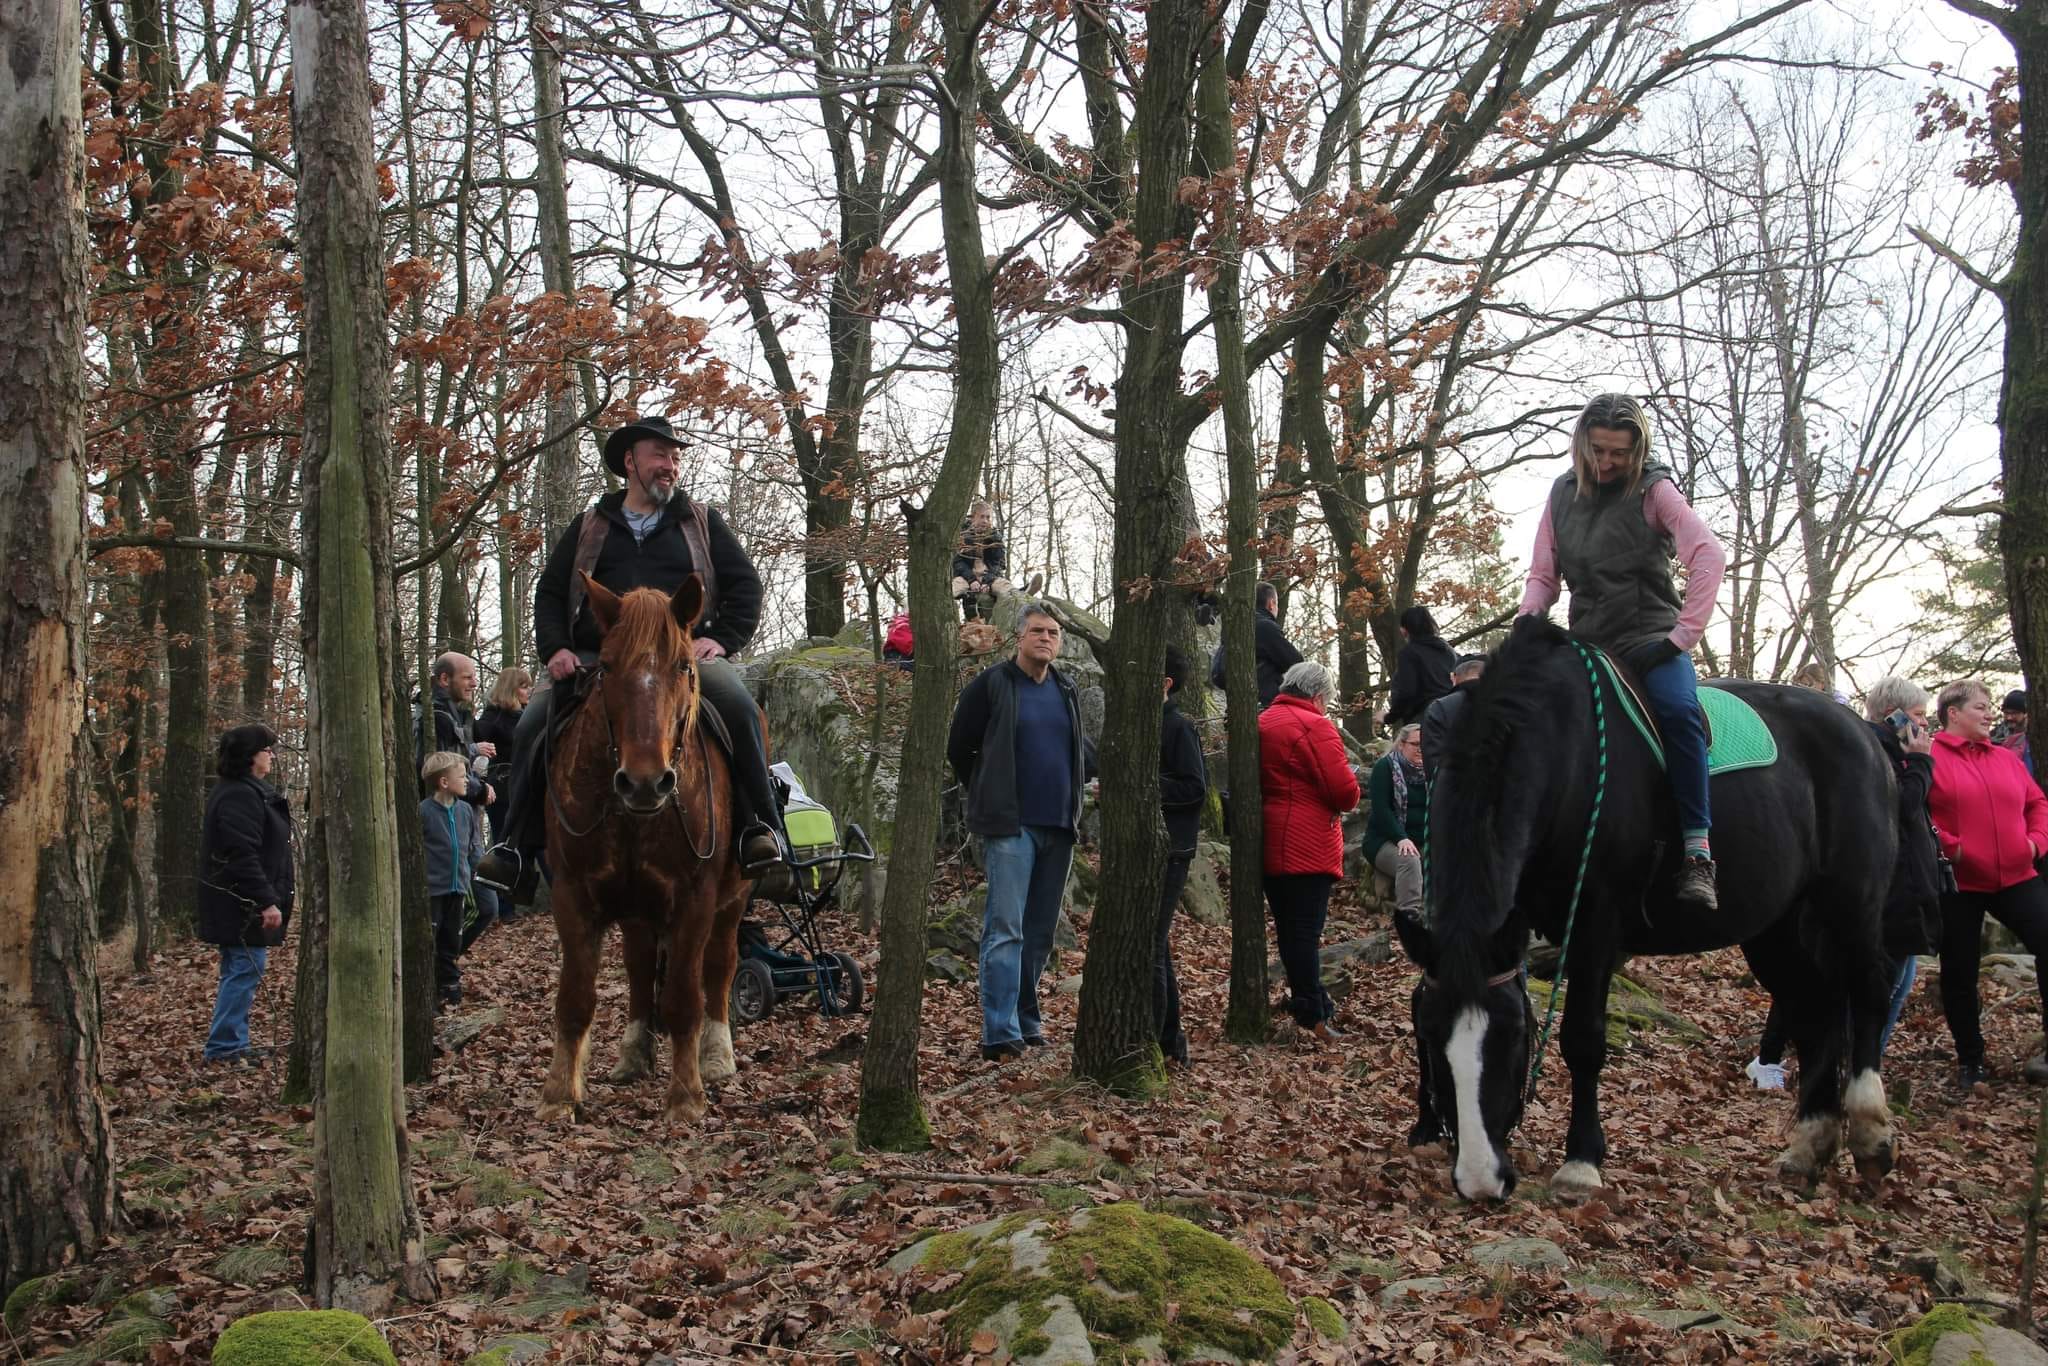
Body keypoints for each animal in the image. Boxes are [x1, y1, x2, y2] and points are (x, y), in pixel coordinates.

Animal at [536, 573, 745, 1122]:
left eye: (684, 665)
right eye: (606, 666)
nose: (645, 782)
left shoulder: (695, 900)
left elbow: (684, 999)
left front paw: (686, 1095)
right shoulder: (573, 895)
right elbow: (576, 997)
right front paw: (559, 1093)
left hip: (734, 901)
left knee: (720, 967)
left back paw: (717, 1056)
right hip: (636, 908)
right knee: (638, 966)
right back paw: (634, 1053)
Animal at [1409, 618, 1900, 1204]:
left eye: (1510, 1037)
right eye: (1431, 1039)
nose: (1481, 1182)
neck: (1562, 755)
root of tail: (1864, 733)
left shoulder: (1596, 925)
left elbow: (1583, 1039)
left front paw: (1581, 1162)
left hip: (1852, 899)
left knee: (1868, 991)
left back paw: (1870, 1136)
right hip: (1776, 927)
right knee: (1814, 1008)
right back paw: (1808, 1148)